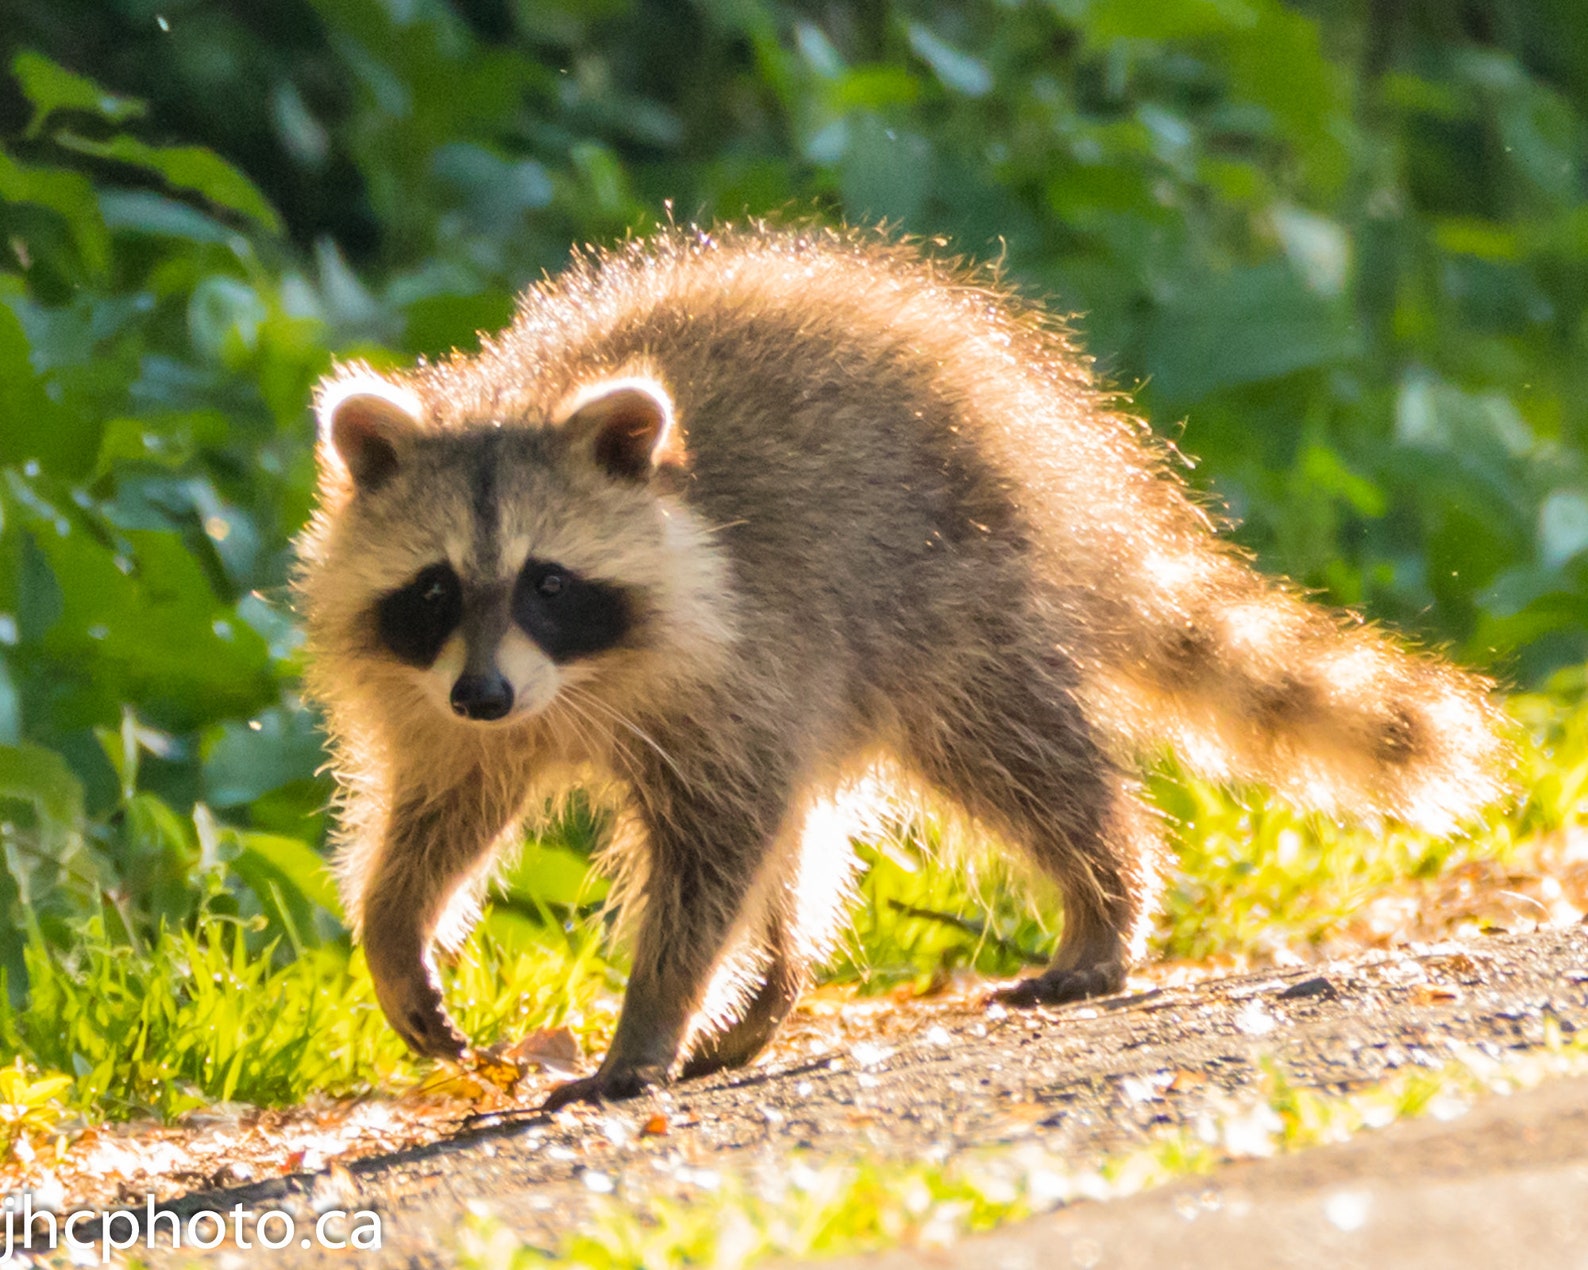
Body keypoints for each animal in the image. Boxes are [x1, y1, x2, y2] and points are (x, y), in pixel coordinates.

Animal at [295, 225, 1508, 1107]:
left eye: (548, 581)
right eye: (436, 589)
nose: (485, 693)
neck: (574, 685)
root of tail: (1047, 437)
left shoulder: (735, 655)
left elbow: (712, 852)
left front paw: (651, 1014)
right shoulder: (449, 703)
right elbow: (440, 811)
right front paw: (394, 926)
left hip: (941, 596)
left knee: (1013, 759)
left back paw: (1103, 894)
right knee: (810, 827)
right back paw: (774, 987)